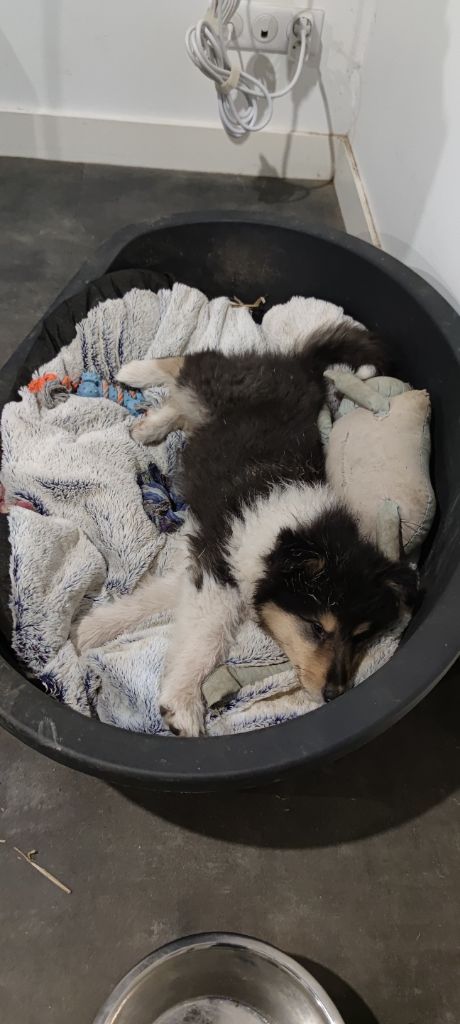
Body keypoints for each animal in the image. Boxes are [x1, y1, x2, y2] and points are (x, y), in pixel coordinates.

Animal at [75, 325, 418, 736]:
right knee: (194, 361)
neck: (290, 529)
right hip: (218, 384)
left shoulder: (208, 559)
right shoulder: (219, 568)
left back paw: (149, 425)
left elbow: (153, 599)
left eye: (361, 635)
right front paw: (182, 707)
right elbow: (205, 635)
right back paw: (135, 372)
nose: (334, 695)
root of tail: (296, 363)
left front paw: (87, 630)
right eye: (317, 628)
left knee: (185, 400)